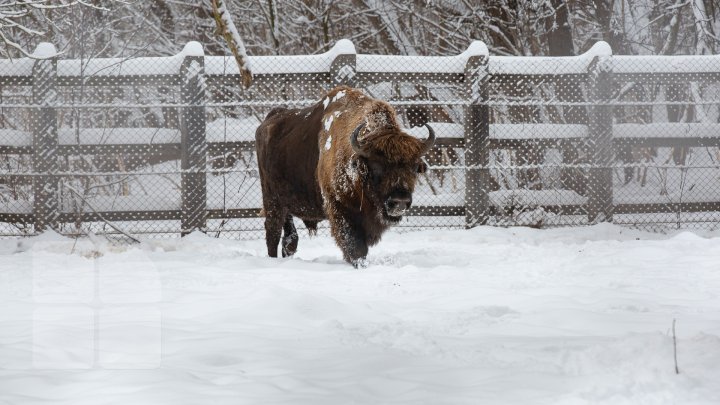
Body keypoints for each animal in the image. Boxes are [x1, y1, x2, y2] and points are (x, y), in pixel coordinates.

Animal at [255, 86, 434, 266]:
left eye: (414, 167)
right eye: (376, 165)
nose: (400, 201)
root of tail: (268, 121)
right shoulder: (340, 208)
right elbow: (355, 245)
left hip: (285, 205)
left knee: (290, 239)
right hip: (272, 200)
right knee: (273, 233)